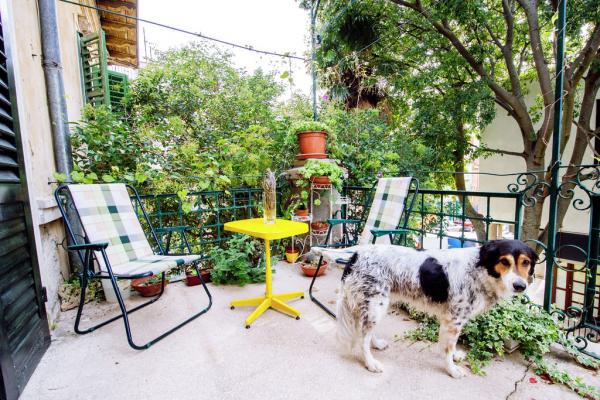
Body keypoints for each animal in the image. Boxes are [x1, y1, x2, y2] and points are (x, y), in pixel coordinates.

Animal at [336, 239, 537, 378]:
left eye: (526, 262)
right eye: (505, 261)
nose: (520, 286)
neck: (479, 269)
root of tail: (356, 254)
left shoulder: (452, 320)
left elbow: (450, 346)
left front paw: (455, 357)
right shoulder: (454, 320)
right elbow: (447, 348)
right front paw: (452, 370)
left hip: (376, 306)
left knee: (367, 332)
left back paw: (376, 344)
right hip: (376, 305)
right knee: (362, 338)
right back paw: (371, 363)